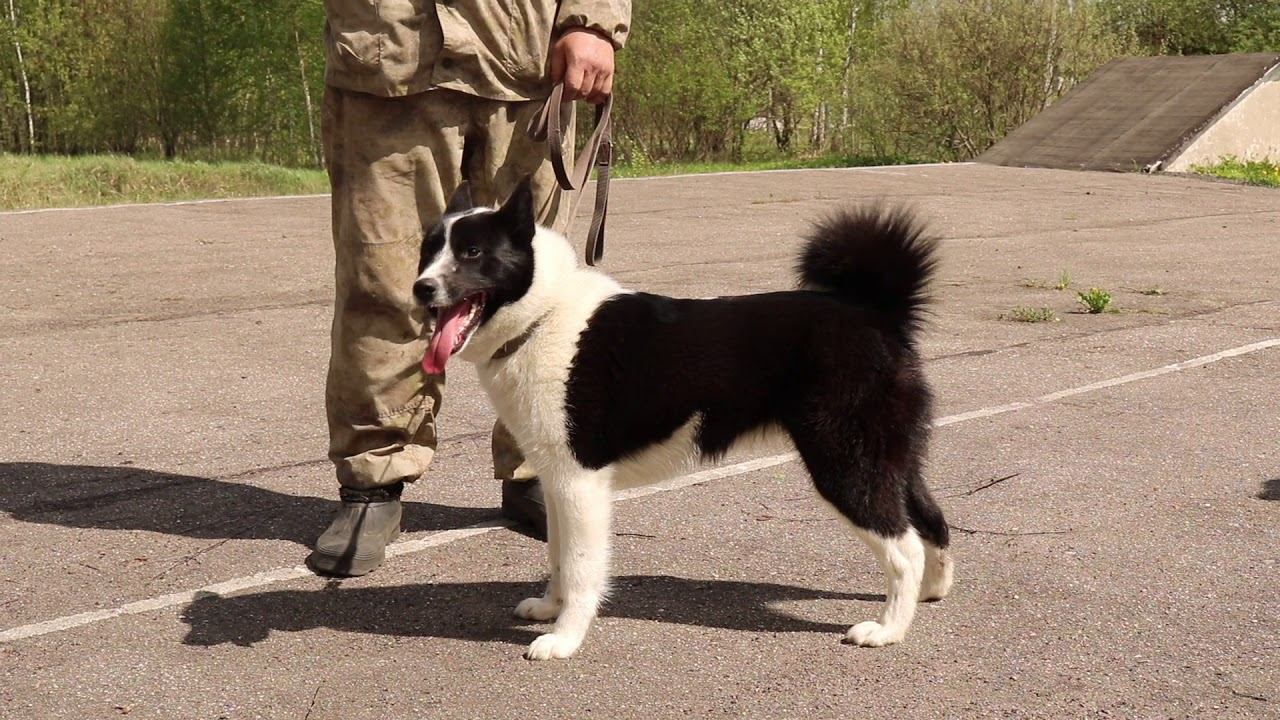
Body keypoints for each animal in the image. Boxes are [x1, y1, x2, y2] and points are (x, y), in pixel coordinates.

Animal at [413, 180, 953, 660]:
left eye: (473, 252)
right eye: (427, 250)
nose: (420, 288)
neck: (542, 316)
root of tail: (877, 314)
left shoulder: (580, 482)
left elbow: (582, 565)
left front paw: (564, 638)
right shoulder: (556, 478)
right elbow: (558, 556)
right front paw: (550, 607)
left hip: (845, 465)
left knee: (904, 547)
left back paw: (887, 630)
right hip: (889, 460)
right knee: (932, 520)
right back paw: (932, 591)